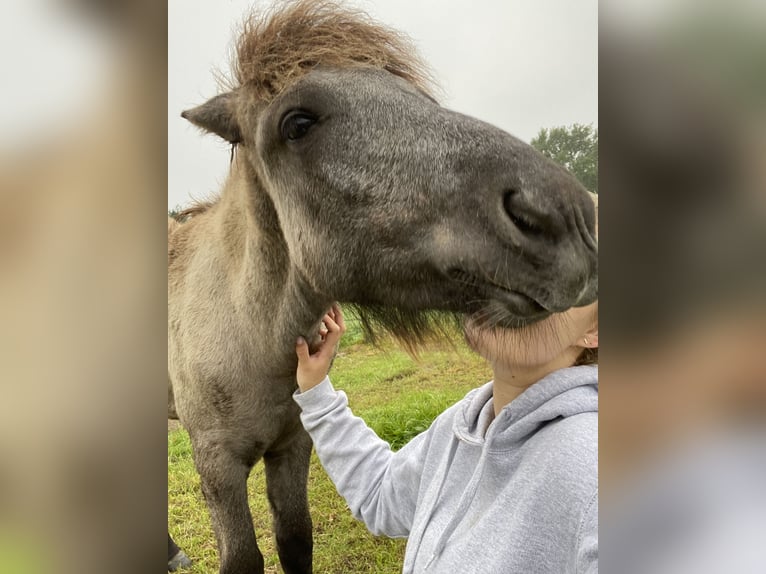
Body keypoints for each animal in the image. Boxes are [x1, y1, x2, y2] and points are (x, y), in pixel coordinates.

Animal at [168, 2, 600, 572]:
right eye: (297, 122)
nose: (567, 217)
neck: (244, 328)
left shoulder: (292, 447)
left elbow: (295, 537)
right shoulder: (217, 466)